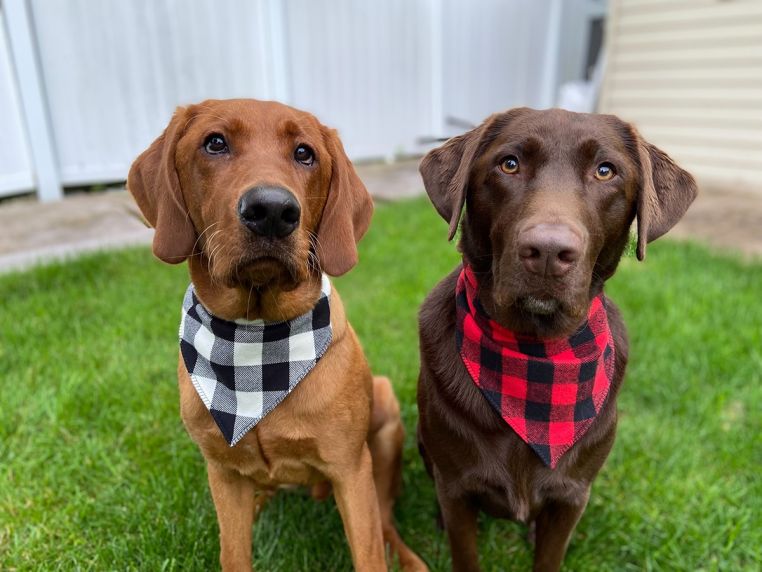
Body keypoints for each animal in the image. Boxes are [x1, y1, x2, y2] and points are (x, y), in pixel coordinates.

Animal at [127, 99, 424, 572]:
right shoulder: (223, 471)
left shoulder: (349, 468)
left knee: (385, 519)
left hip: (386, 414)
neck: (257, 344)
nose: (271, 210)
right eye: (214, 143)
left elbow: (369, 550)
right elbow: (233, 552)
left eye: (305, 153)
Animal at [416, 108, 696, 572]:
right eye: (509, 164)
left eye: (605, 171)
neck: (536, 354)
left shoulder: (571, 496)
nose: (548, 251)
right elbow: (464, 549)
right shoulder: (457, 488)